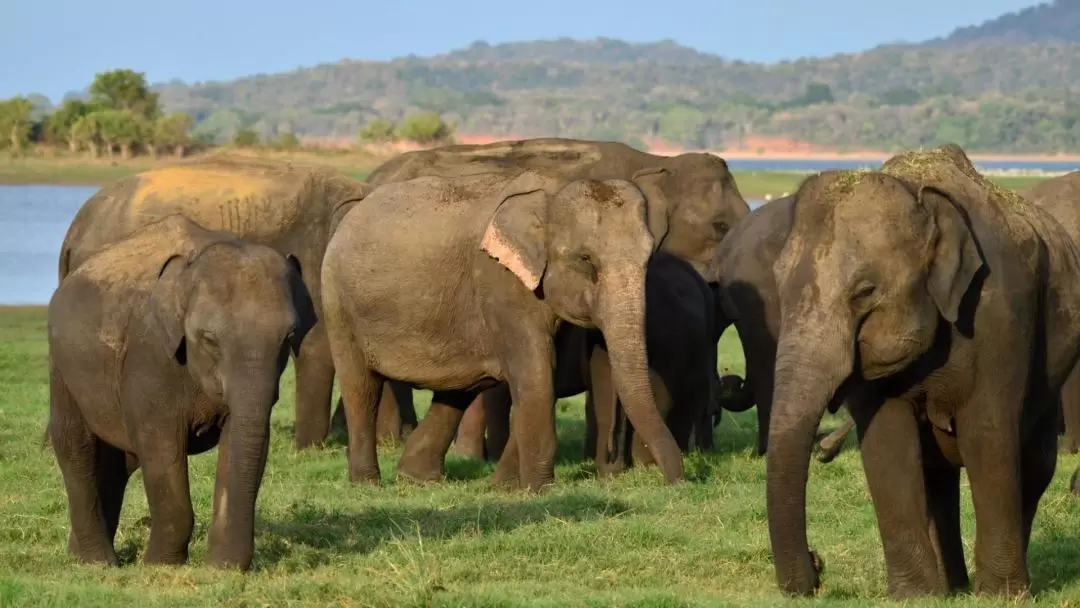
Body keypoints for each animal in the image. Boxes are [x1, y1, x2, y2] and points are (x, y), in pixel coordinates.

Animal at [46, 215, 315, 574]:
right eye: (210, 339)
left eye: (289, 336)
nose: (233, 565)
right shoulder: (150, 356)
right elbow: (160, 445)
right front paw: (160, 566)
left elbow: (241, 439)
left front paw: (221, 568)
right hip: (62, 365)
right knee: (76, 445)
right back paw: (97, 562)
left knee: (117, 462)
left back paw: (81, 554)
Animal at [319, 168, 682, 492]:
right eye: (586, 259)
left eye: (648, 257)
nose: (675, 482)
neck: (551, 192)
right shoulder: (502, 282)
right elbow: (536, 372)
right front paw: (538, 491)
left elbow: (545, 373)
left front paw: (505, 488)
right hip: (339, 304)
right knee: (361, 387)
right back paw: (367, 483)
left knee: (458, 389)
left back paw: (418, 479)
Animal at [764, 143, 1080, 600]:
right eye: (779, 287)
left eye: (865, 292)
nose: (818, 565)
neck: (919, 196)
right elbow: (887, 443)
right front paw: (915, 596)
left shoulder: (999, 314)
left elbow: (987, 434)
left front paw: (999, 596)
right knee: (938, 476)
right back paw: (952, 587)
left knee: (1034, 462)